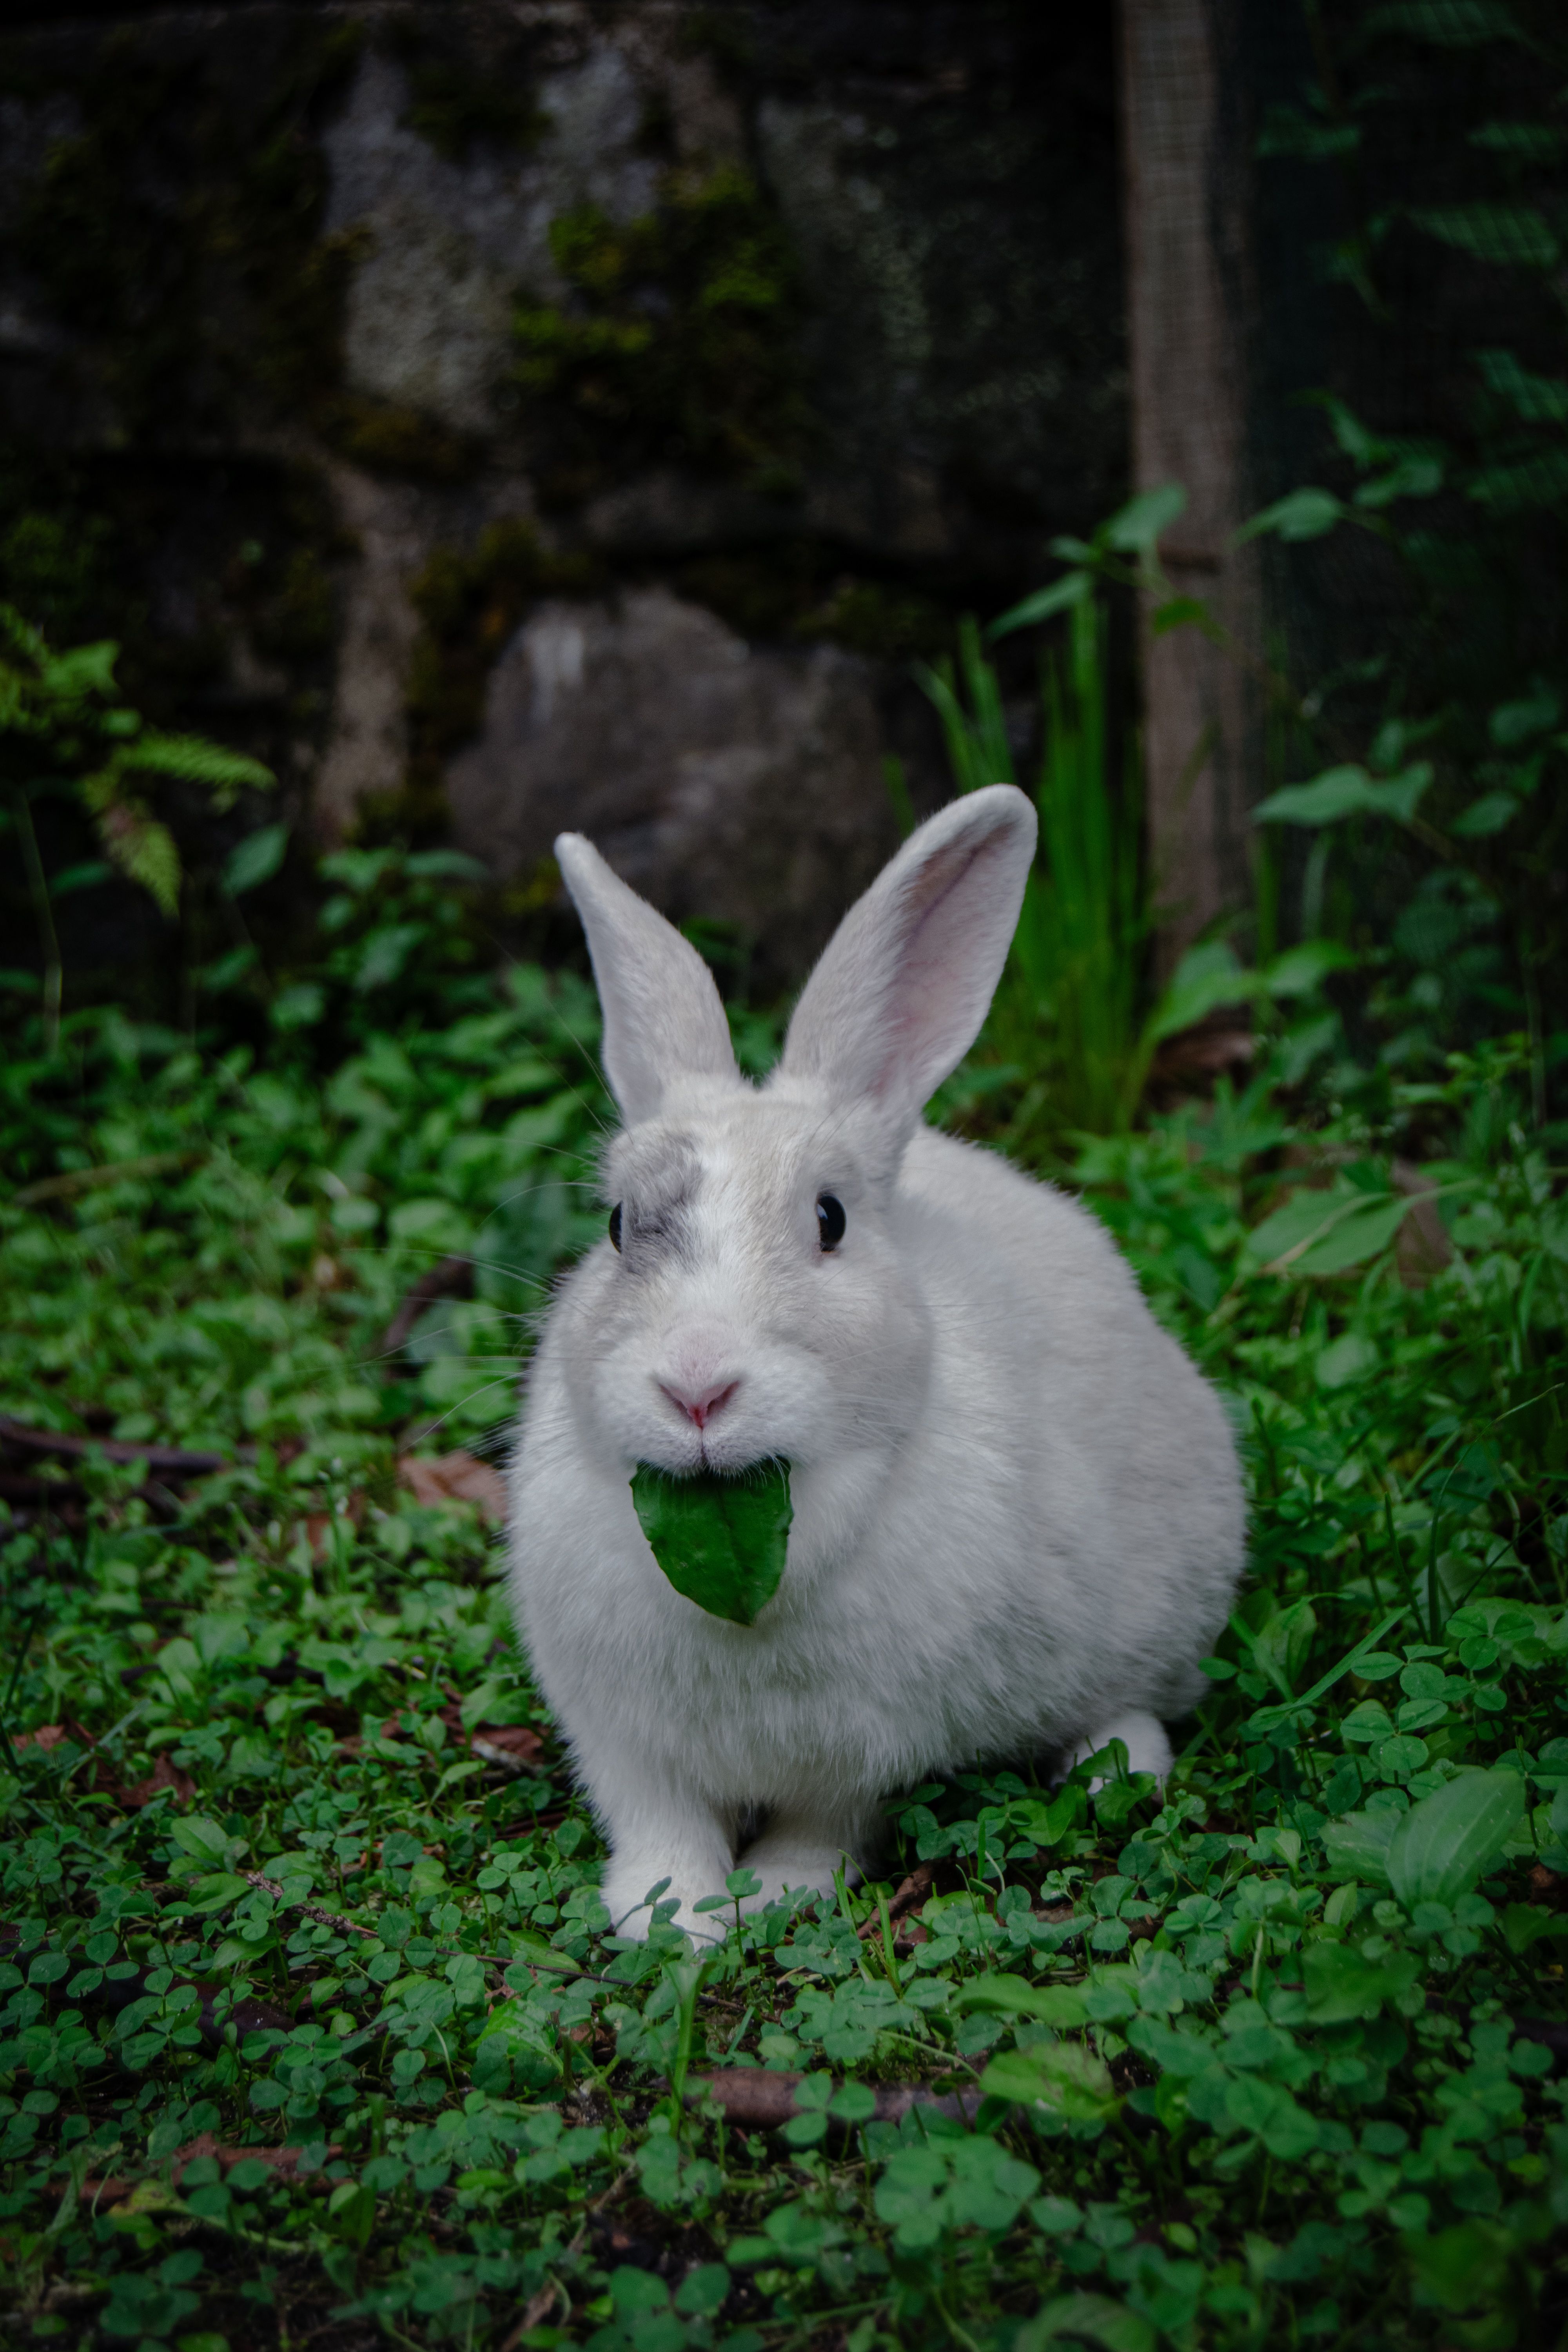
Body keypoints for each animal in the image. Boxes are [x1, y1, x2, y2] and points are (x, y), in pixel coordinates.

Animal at [507, 785, 1245, 1940]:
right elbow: (659, 1821)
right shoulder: (621, 1737)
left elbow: (825, 1822)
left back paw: (1110, 1771)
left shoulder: (865, 1749)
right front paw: (669, 1918)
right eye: (620, 1226)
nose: (697, 1387)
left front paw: (778, 1894)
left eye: (831, 1219)